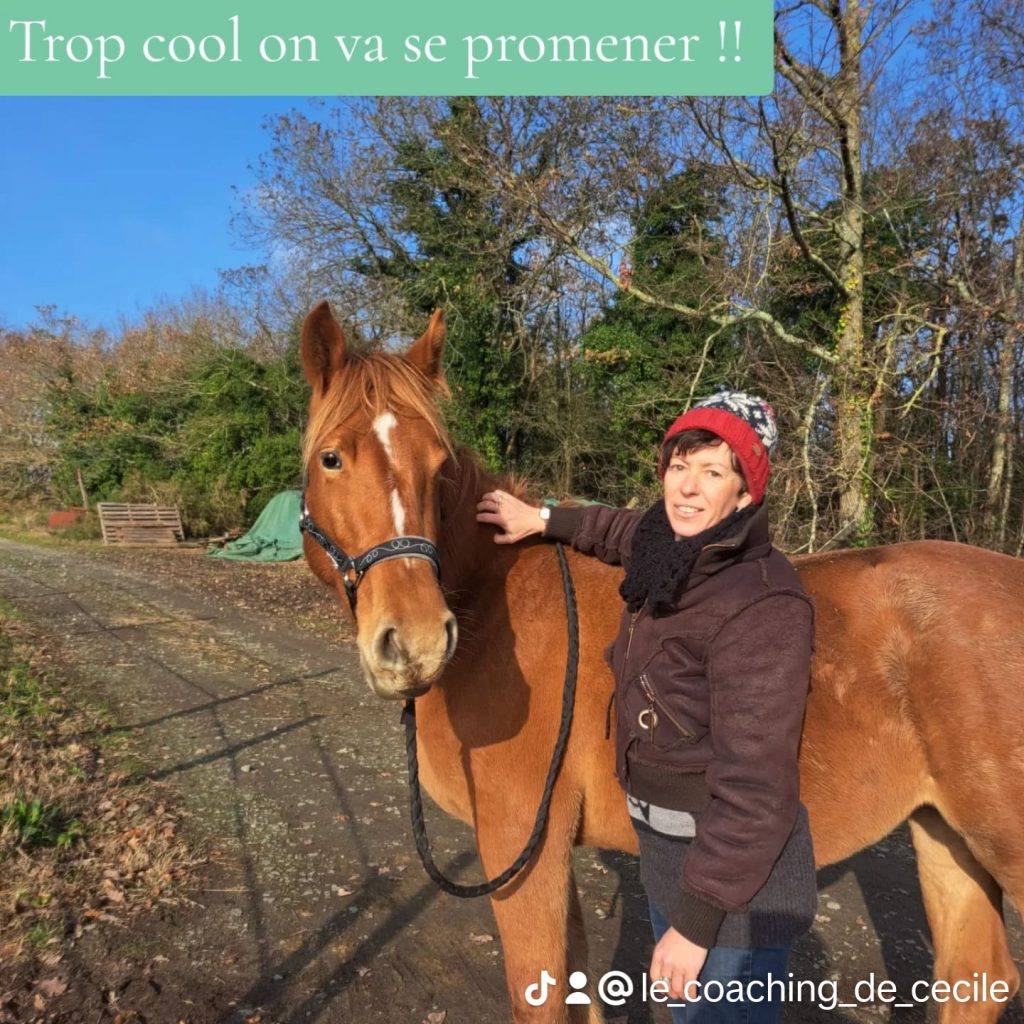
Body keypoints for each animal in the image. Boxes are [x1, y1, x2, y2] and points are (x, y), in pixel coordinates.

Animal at [298, 300, 1024, 1023]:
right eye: (331, 459)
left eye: (438, 466)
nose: (416, 642)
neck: (493, 606)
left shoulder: (520, 846)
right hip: (946, 839)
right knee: (973, 977)